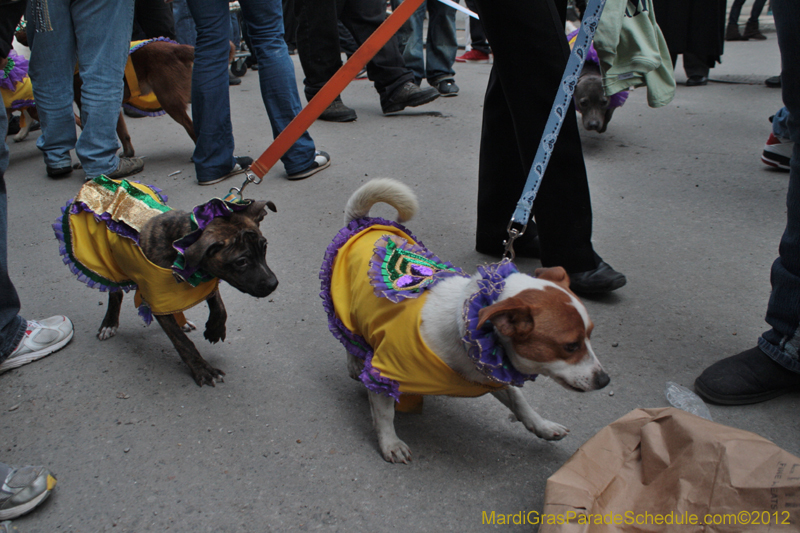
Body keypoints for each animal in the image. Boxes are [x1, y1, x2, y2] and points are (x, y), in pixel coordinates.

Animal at [97, 200, 278, 386]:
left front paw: (215, 330)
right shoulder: (158, 300)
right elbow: (183, 342)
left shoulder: (207, 278)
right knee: (115, 291)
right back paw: (109, 323)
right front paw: (203, 370)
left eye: (264, 247)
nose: (273, 284)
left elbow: (219, 306)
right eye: (241, 262)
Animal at [322, 179, 608, 462]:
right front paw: (390, 443)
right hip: (342, 309)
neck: (466, 330)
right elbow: (384, 414)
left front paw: (542, 426)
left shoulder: (491, 374)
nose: (605, 380)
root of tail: (363, 221)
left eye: (590, 336)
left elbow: (519, 400)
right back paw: (354, 361)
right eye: (570, 346)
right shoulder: (383, 374)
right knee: (348, 339)